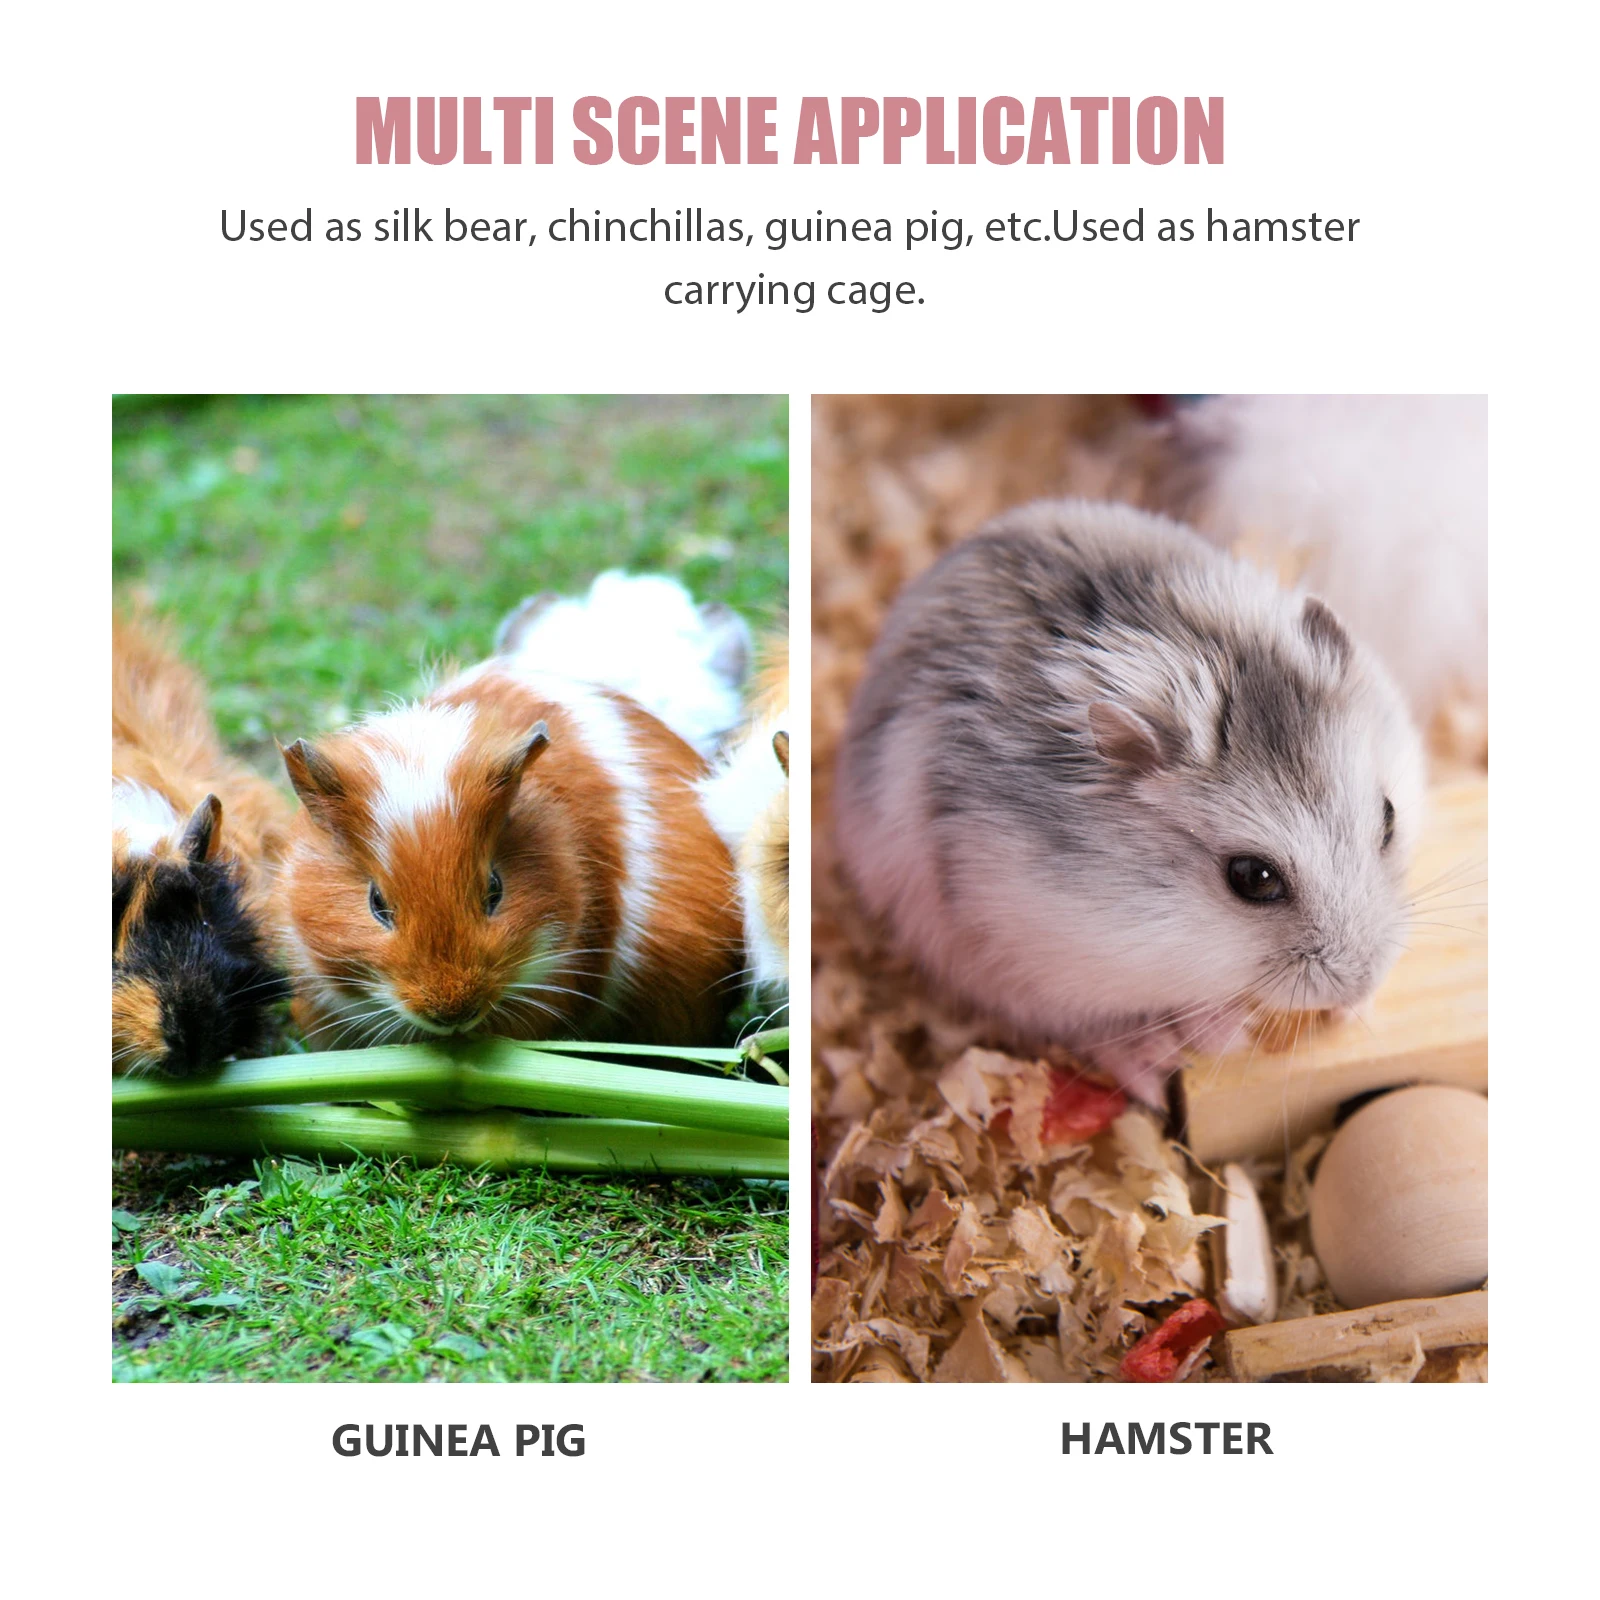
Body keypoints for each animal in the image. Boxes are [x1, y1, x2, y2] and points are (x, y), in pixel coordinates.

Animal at [833, 498, 1426, 1106]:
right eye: (1252, 878)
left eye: (1388, 817)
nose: (1364, 979)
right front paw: (1223, 1034)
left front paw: (1352, 1012)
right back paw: (1152, 1069)